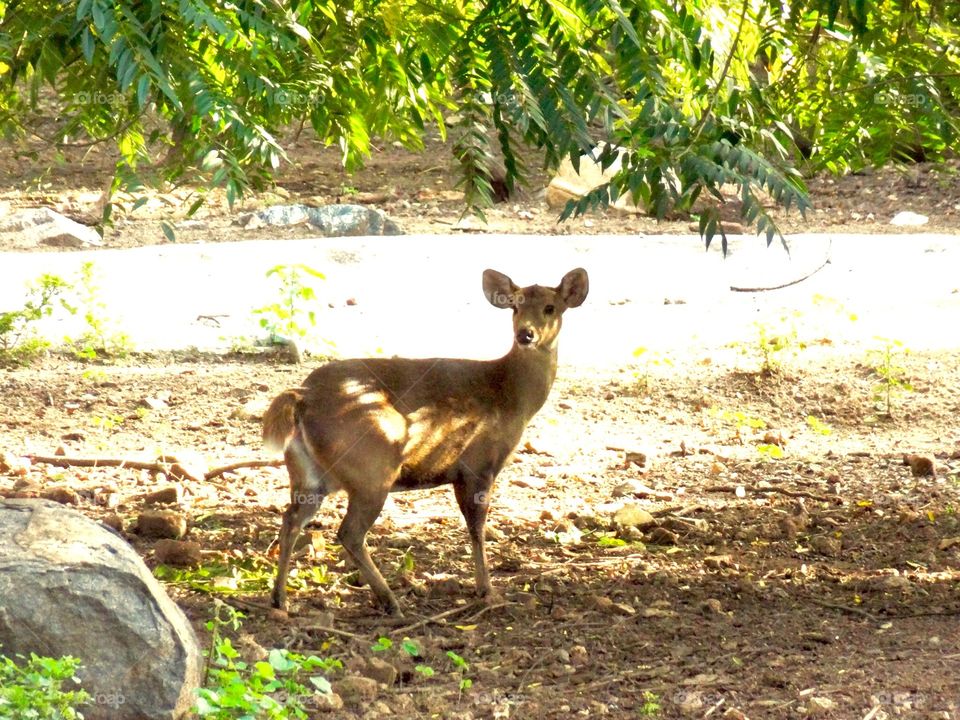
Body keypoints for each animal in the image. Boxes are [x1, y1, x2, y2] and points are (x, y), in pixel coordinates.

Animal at [262, 267, 589, 615]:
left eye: (550, 307)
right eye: (514, 306)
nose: (525, 335)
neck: (510, 395)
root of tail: (303, 396)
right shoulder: (478, 465)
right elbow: (477, 528)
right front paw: (487, 591)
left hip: (306, 473)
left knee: (291, 519)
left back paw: (280, 599)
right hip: (372, 466)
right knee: (348, 531)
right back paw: (391, 602)